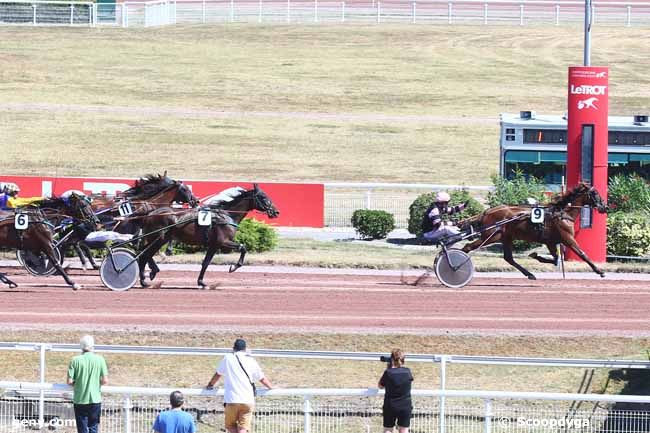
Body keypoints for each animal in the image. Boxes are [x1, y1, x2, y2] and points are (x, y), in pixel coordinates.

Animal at [137, 183, 278, 286]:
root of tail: (150, 213)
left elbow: (206, 262)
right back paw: (145, 279)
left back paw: (148, 275)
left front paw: (201, 282)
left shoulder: (214, 245)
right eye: (263, 197)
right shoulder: (223, 242)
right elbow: (243, 248)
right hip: (158, 239)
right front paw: (233, 267)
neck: (226, 215)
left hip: (158, 239)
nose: (276, 212)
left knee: (144, 254)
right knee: (144, 255)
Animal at [460, 181, 608, 276]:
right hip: (492, 236)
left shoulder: (551, 242)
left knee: (508, 258)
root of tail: (487, 212)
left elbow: (555, 259)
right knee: (467, 247)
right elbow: (582, 254)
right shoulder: (567, 239)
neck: (562, 213)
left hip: (506, 237)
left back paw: (529, 274)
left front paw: (536, 255)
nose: (604, 207)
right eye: (595, 193)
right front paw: (600, 271)